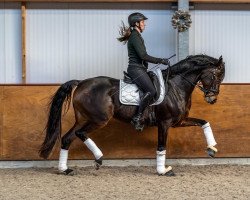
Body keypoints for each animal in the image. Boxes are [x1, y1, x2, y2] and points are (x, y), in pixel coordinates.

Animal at [39, 54, 225, 175]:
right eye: (216, 76)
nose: (212, 99)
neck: (175, 86)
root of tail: (81, 82)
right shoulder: (164, 123)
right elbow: (161, 147)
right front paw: (163, 170)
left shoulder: (179, 121)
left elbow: (204, 122)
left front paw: (212, 148)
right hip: (99, 119)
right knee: (80, 133)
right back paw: (98, 158)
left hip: (83, 118)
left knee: (67, 138)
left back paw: (65, 169)